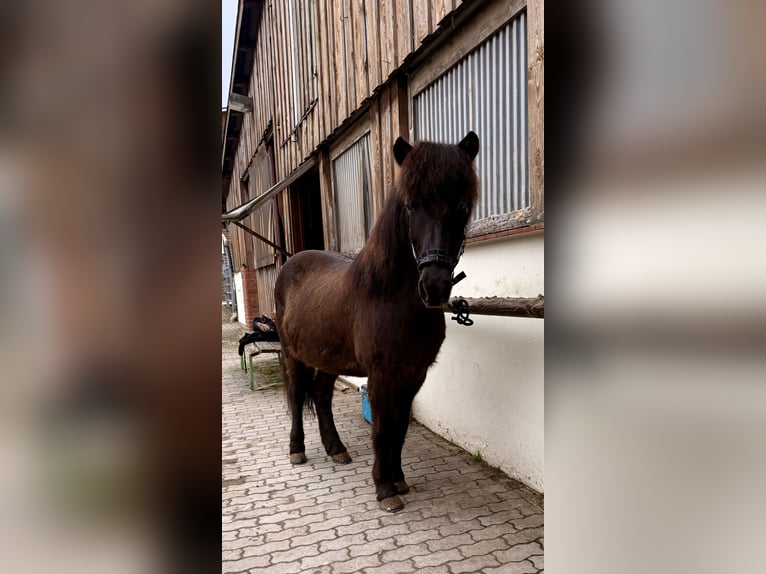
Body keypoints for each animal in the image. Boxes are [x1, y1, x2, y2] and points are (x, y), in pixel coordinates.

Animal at [274, 131, 479, 512]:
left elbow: (398, 429)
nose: (434, 287)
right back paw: (297, 450)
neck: (389, 297)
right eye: (411, 206)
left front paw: (397, 479)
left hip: (327, 357)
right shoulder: (383, 375)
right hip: (294, 354)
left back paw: (337, 449)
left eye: (462, 206)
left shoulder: (413, 375)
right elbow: (383, 429)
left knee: (321, 395)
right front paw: (384, 489)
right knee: (296, 396)